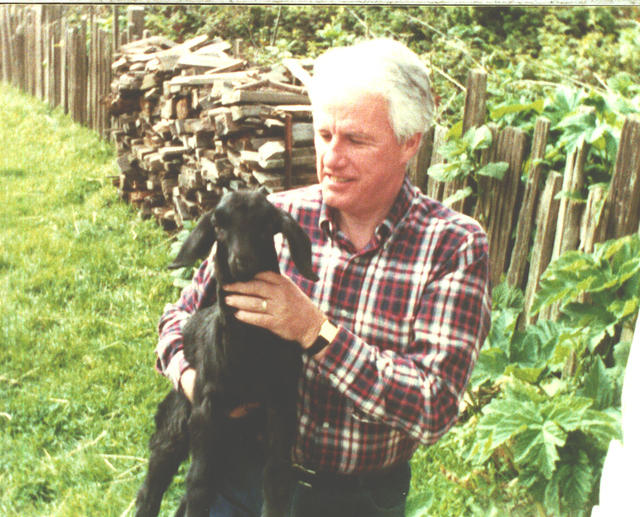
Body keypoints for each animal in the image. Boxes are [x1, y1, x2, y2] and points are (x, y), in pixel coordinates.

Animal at [138, 191, 322, 516]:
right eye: (218, 225)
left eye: (267, 224)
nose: (242, 261)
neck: (250, 351)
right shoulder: (206, 409)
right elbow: (198, 483)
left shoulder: (281, 406)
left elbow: (276, 478)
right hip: (177, 422)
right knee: (151, 487)